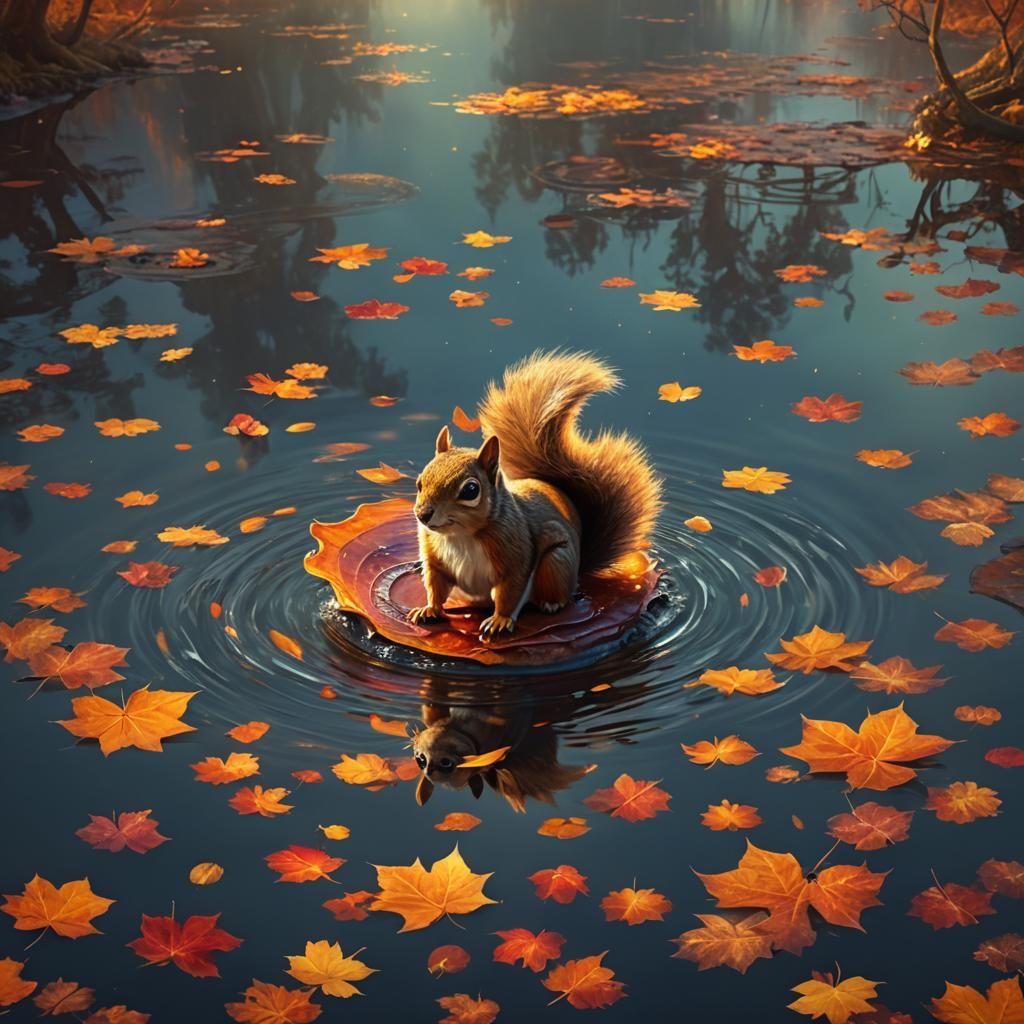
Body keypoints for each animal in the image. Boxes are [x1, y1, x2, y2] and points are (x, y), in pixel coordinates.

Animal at [409, 350, 661, 640]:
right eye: (420, 482)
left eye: (471, 490)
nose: (423, 514)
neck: (460, 535)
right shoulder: (434, 556)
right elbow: (435, 584)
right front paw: (429, 609)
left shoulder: (516, 554)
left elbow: (510, 591)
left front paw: (500, 620)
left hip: (555, 562)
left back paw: (551, 604)